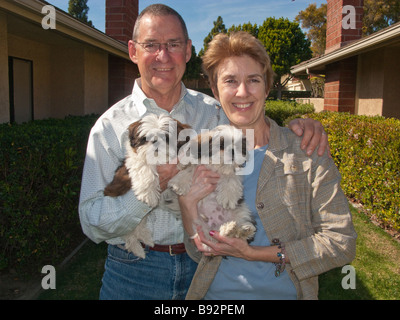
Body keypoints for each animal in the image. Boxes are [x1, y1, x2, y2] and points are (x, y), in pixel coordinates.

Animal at [103, 114, 191, 258]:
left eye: (166, 137)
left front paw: (181, 181)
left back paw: (146, 239)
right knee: (129, 233)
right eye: (145, 138)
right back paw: (137, 247)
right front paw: (149, 195)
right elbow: (144, 168)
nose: (155, 142)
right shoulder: (134, 161)